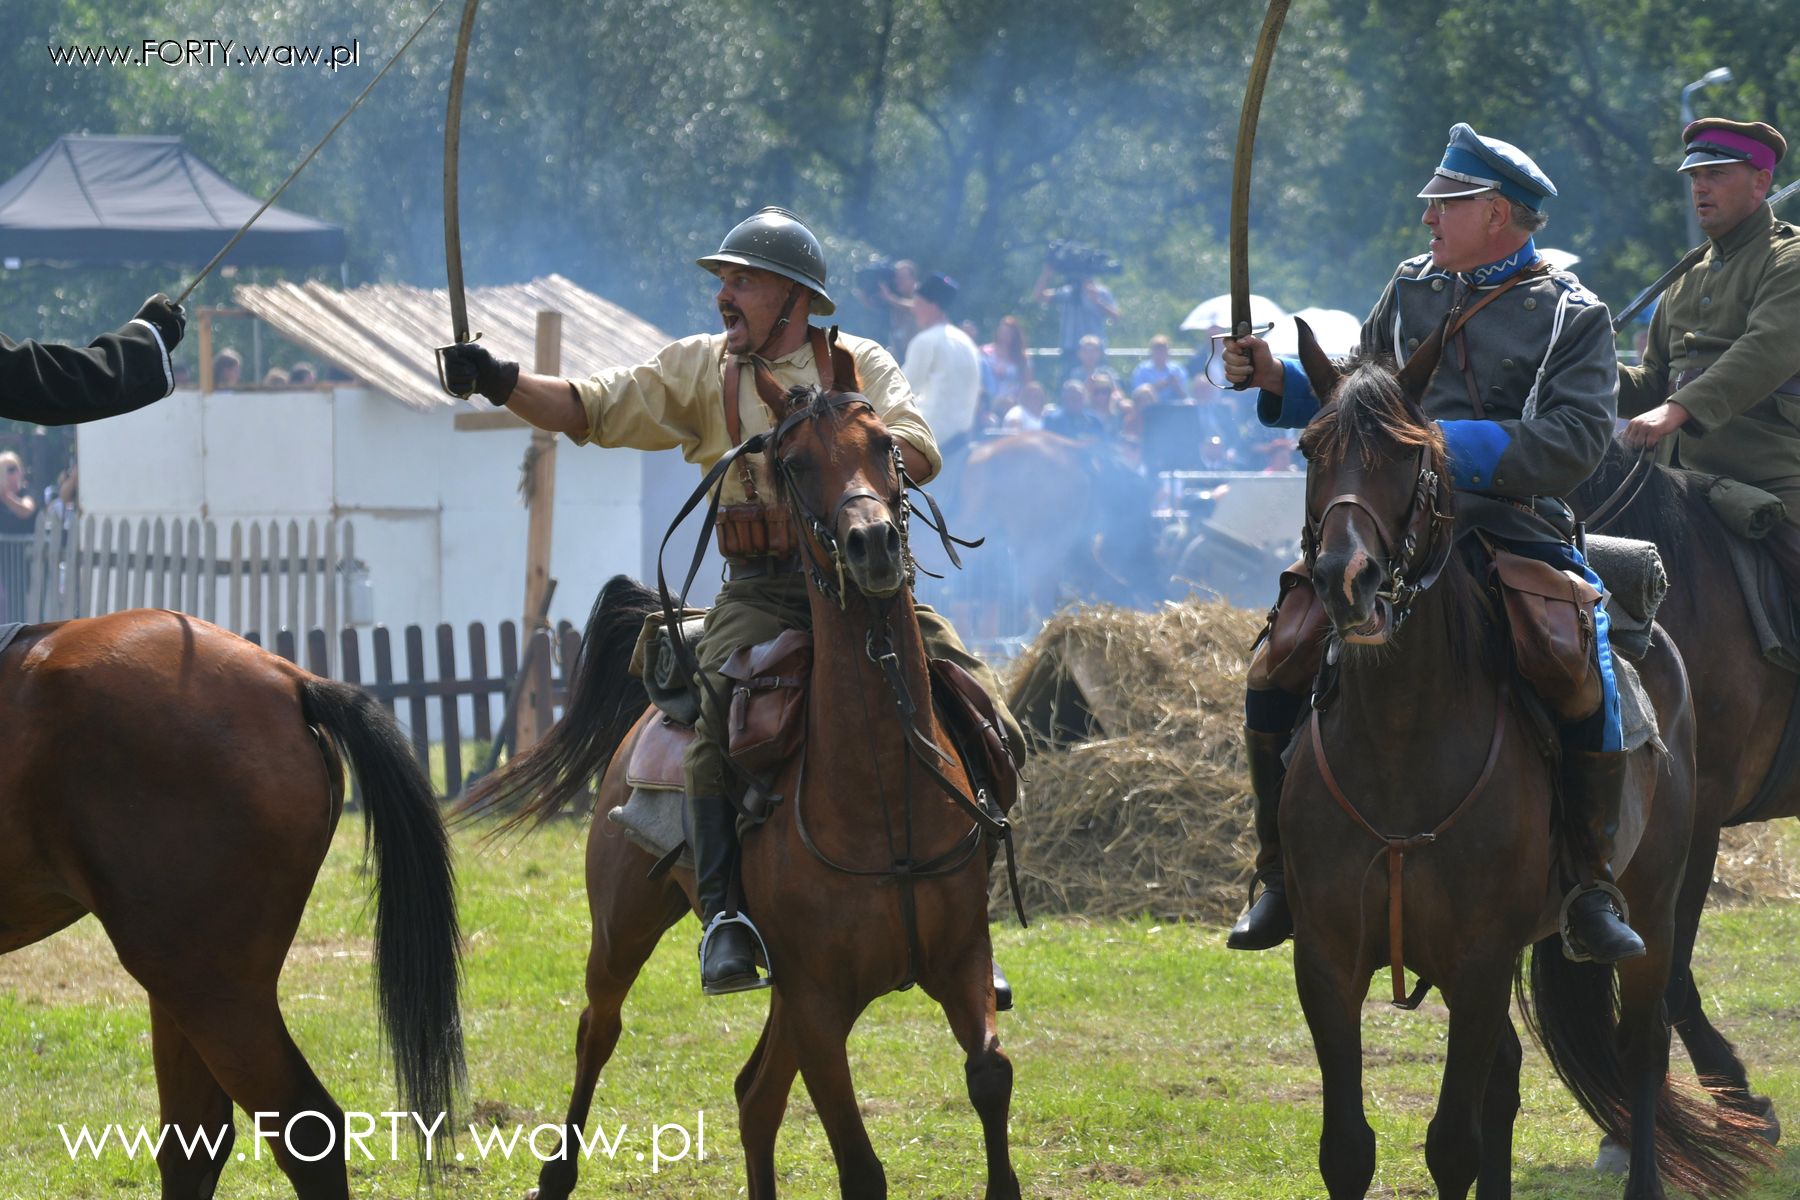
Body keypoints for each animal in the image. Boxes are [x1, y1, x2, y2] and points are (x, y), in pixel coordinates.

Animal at [464, 385, 1022, 1200]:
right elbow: (860, 1168)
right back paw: (556, 1172)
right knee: (599, 1031)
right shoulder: (818, 1006)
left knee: (754, 1096)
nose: (874, 545)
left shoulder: (961, 966)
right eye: (795, 463)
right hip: (624, 930)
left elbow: (990, 1076)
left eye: (885, 445)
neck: (882, 802)